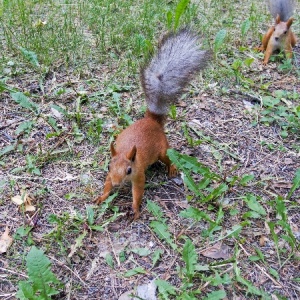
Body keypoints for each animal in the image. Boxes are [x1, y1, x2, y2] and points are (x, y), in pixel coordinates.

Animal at [93, 28, 209, 218]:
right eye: (109, 166)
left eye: (129, 170)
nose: (117, 183)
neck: (126, 152)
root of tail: (151, 120)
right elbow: (106, 184)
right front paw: (102, 197)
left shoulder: (139, 174)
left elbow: (138, 191)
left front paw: (135, 209)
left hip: (162, 150)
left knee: (168, 158)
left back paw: (171, 168)